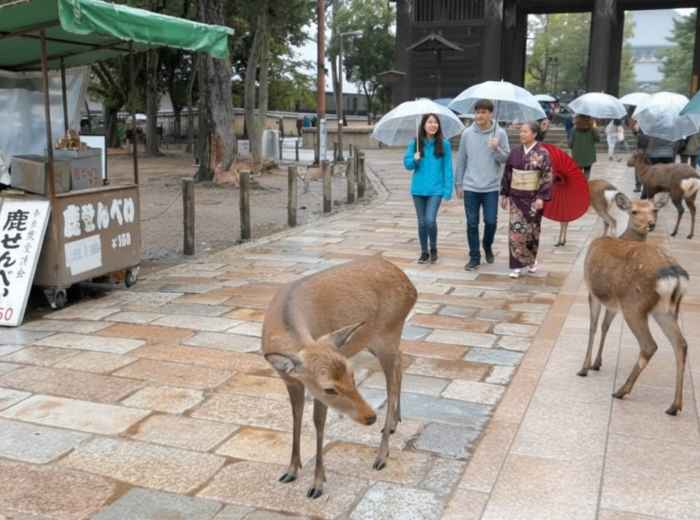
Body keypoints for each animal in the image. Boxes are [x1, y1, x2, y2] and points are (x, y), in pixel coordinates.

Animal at [262, 254, 417, 499]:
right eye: (329, 388)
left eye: (353, 376)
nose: (370, 417)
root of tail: (412, 288)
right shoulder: (290, 379)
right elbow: (296, 416)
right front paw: (291, 470)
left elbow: (318, 422)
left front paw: (317, 483)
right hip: (372, 340)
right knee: (400, 362)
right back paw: (393, 423)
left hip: (389, 333)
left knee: (391, 384)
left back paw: (381, 455)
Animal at [578, 190, 690, 415]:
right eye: (635, 211)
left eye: (655, 210)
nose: (651, 224)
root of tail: (674, 274)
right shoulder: (614, 303)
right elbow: (605, 326)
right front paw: (596, 363)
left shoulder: (592, 292)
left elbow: (593, 327)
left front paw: (585, 367)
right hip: (665, 310)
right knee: (681, 344)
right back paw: (674, 405)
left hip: (635, 306)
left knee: (649, 345)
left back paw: (622, 391)